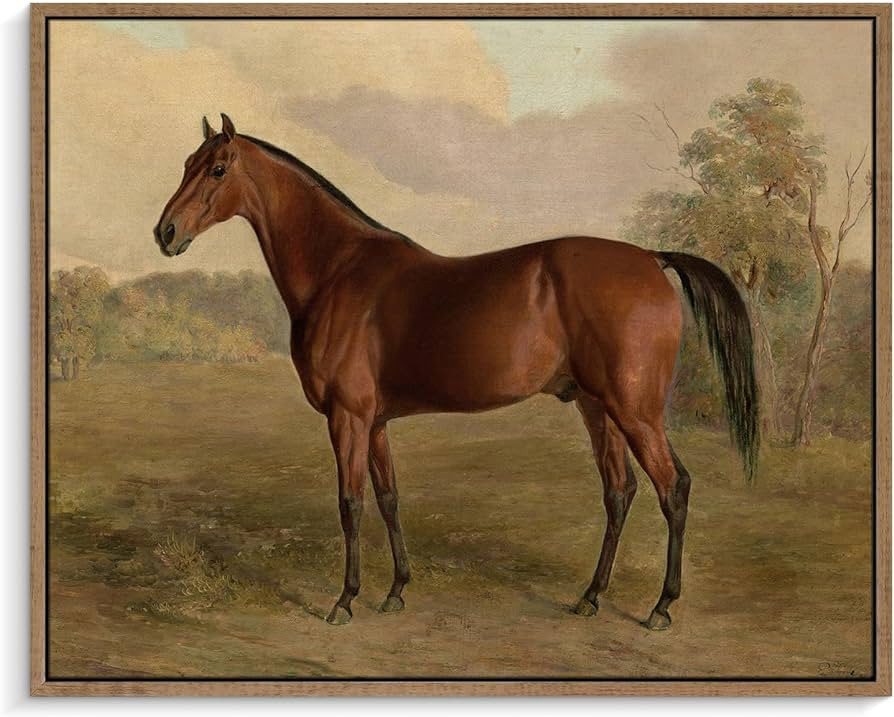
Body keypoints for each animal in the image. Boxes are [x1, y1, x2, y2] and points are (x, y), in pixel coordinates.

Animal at [154, 114, 759, 629]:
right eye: (186, 162)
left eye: (217, 169)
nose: (166, 233)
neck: (339, 271)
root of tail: (651, 259)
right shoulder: (375, 422)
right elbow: (389, 498)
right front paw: (396, 591)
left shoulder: (347, 418)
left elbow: (350, 504)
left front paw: (345, 601)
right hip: (597, 407)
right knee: (620, 491)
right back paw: (590, 597)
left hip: (635, 410)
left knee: (672, 487)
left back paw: (661, 607)